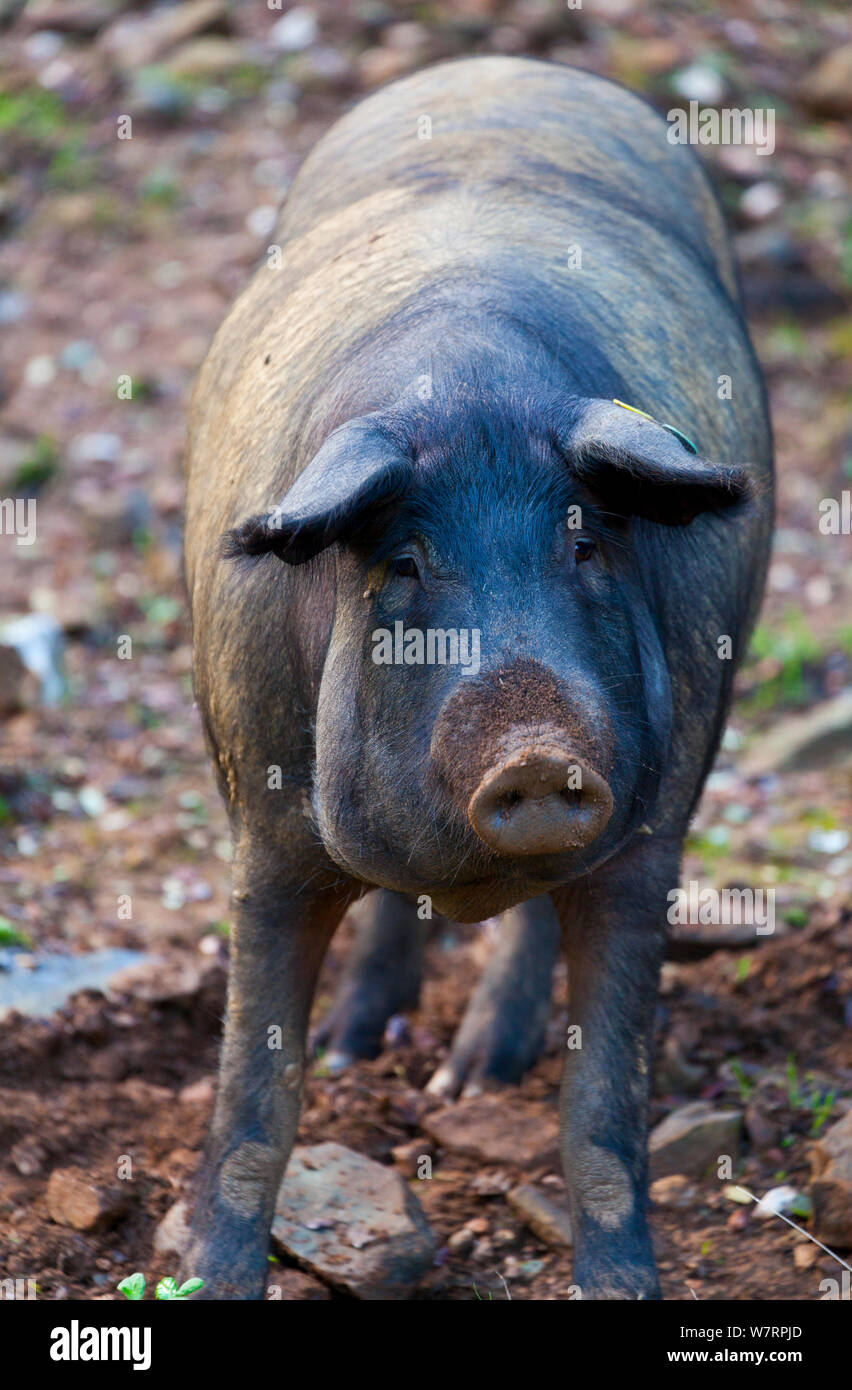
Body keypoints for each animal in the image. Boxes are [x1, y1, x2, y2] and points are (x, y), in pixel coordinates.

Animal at [182, 51, 772, 1289]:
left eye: (587, 545)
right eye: (403, 565)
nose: (535, 746)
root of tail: (504, 61)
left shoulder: (653, 833)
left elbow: (602, 1101)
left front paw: (623, 1282)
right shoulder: (263, 825)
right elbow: (254, 1095)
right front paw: (210, 1277)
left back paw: (475, 1075)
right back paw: (362, 1046)